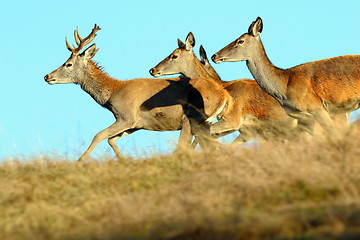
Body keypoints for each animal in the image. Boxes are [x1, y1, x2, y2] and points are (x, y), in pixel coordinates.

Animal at [43, 24, 222, 161]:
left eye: (68, 64)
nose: (47, 76)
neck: (113, 93)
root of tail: (221, 96)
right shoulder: (136, 123)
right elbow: (111, 139)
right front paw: (123, 160)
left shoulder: (127, 116)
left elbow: (98, 135)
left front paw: (80, 162)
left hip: (191, 118)